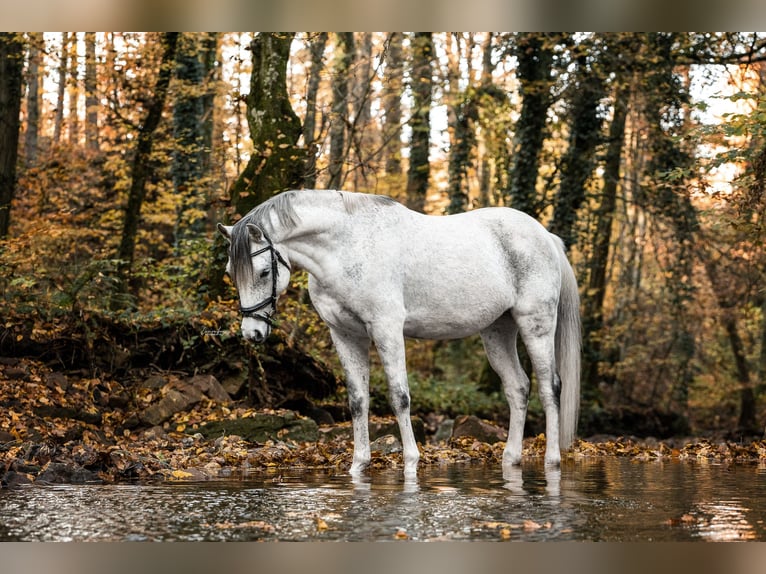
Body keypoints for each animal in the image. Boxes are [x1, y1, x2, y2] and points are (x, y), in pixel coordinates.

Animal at [217, 189, 581, 478]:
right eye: (231, 273)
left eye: (264, 271)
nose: (252, 332)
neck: (347, 246)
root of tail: (546, 237)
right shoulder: (345, 335)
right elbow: (358, 400)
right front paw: (359, 465)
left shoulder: (386, 328)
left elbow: (399, 396)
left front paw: (410, 463)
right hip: (497, 330)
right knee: (518, 388)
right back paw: (511, 458)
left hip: (536, 324)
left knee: (550, 387)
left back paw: (552, 461)